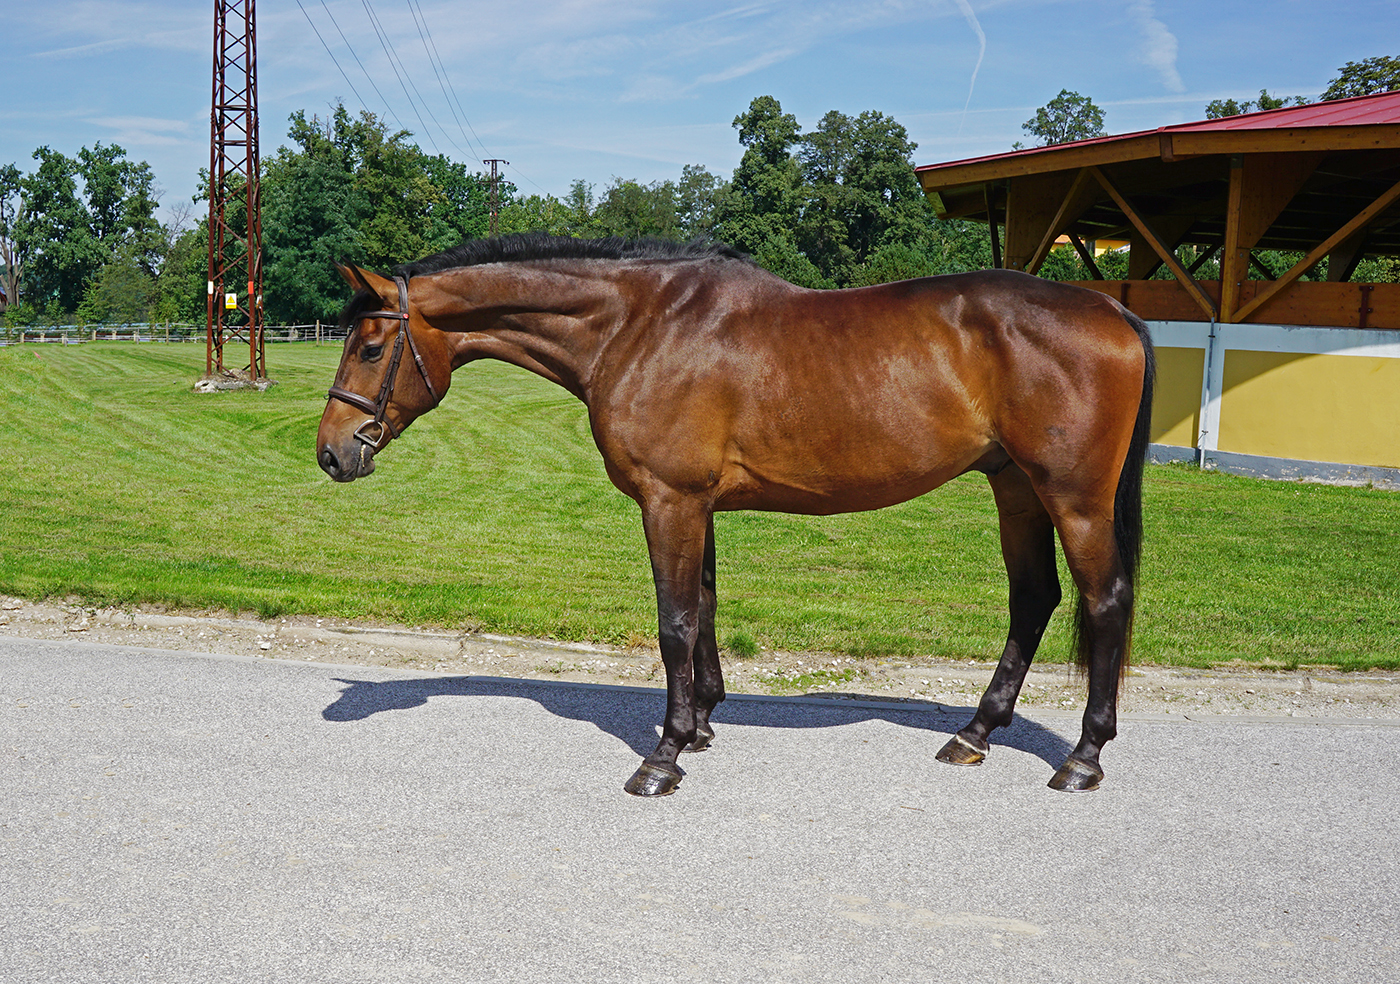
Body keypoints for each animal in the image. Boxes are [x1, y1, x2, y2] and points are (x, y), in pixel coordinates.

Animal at [317, 234, 1155, 797]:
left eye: (369, 346)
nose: (330, 454)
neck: (637, 325)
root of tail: (1113, 310)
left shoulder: (670, 499)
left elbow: (674, 621)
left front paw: (663, 757)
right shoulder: (699, 504)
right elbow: (706, 608)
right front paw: (701, 724)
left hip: (1073, 497)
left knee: (1105, 601)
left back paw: (1083, 757)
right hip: (1016, 488)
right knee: (1034, 599)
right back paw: (974, 734)